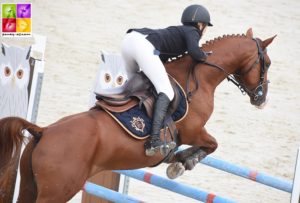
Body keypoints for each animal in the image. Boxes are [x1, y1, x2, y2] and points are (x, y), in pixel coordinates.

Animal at [0, 29, 276, 203]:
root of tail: (43, 131)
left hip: (29, 186)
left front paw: (176, 159)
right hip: (57, 191)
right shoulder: (194, 131)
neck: (201, 77)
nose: (262, 100)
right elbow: (212, 144)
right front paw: (180, 164)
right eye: (268, 63)